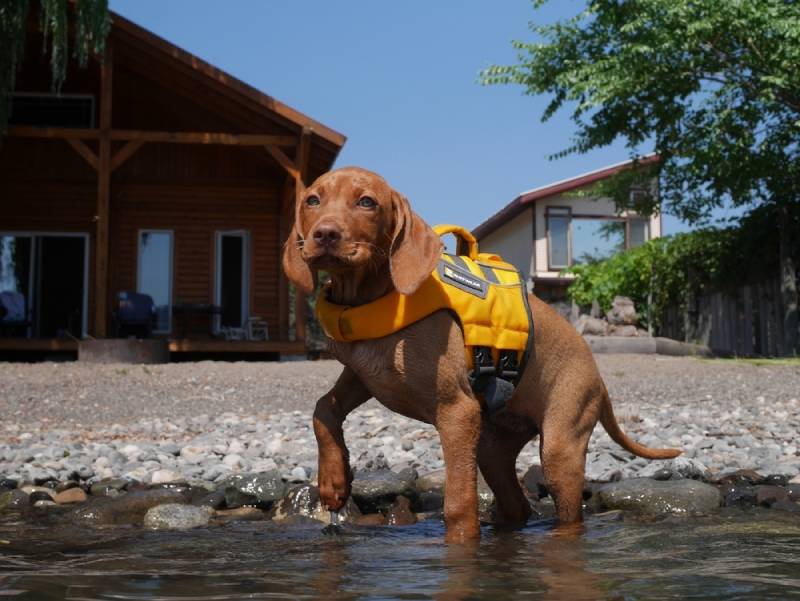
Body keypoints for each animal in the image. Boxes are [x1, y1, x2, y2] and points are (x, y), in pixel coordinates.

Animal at [284, 166, 680, 540]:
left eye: (367, 202)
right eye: (312, 201)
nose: (324, 234)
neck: (372, 296)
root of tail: (598, 377)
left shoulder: (457, 414)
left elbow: (460, 506)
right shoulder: (364, 373)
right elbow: (323, 407)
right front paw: (333, 483)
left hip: (559, 448)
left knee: (566, 513)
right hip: (493, 448)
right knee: (519, 506)